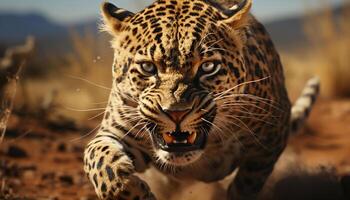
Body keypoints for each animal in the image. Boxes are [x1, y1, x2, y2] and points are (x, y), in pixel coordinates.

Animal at [82, 0, 320, 199]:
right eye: (148, 67)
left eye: (208, 67)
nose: (176, 112)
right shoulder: (114, 130)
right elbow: (100, 161)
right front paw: (131, 190)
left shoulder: (270, 142)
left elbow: (247, 185)